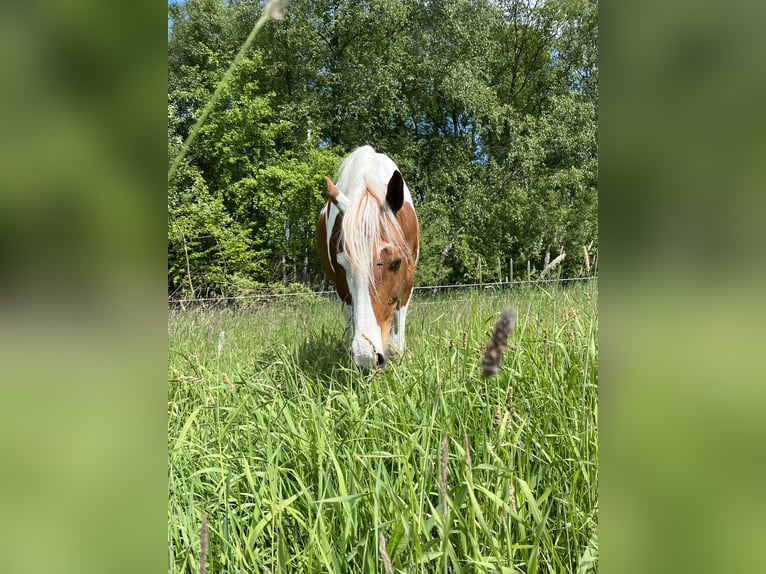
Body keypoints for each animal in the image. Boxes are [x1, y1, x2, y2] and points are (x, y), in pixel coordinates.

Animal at [316, 146, 420, 371]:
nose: (366, 357)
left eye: (396, 263)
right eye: (343, 266)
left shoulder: (408, 279)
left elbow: (398, 327)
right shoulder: (341, 282)